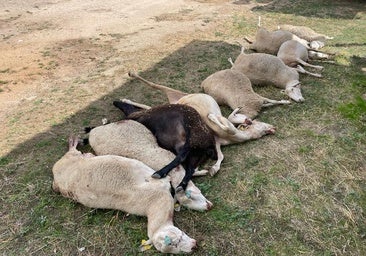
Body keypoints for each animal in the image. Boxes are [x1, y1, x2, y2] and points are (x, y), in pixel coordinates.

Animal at [51, 136, 197, 254]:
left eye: (175, 241)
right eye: (173, 245)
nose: (193, 246)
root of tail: (55, 180)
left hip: (72, 160)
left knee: (75, 153)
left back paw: (73, 142)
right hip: (67, 167)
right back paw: (73, 142)